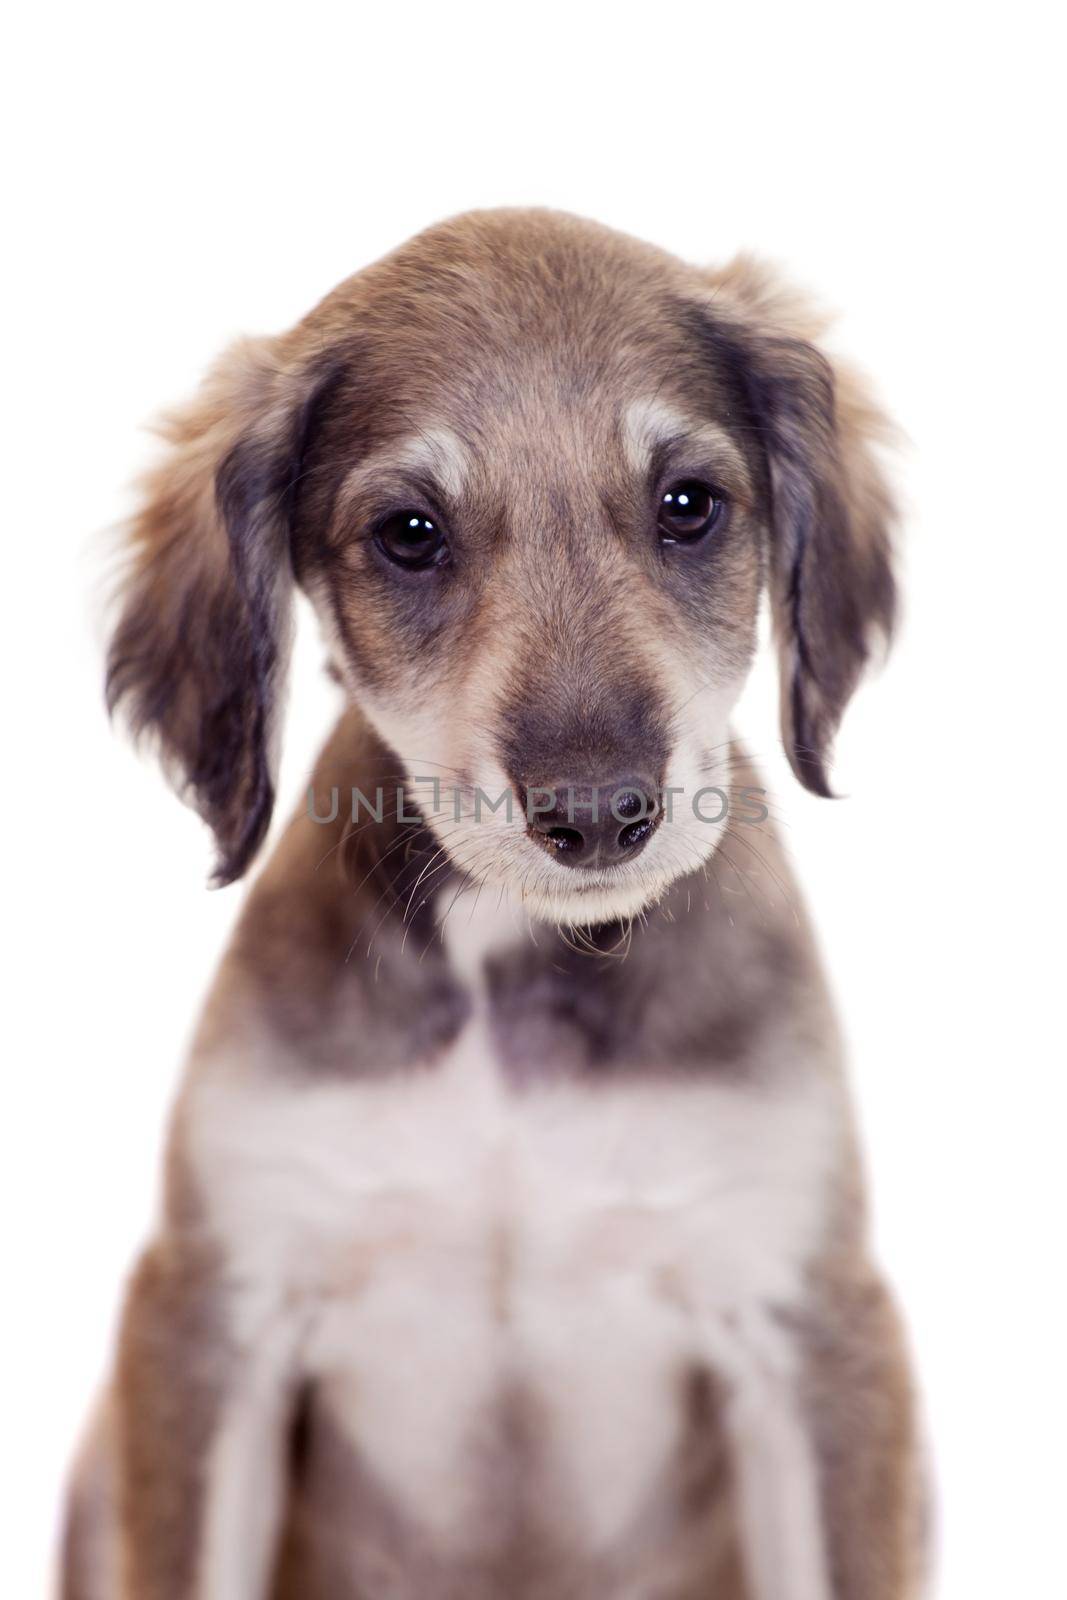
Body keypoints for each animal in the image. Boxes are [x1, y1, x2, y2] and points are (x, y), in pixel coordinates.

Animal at [62, 212, 921, 1600]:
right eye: (410, 532)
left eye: (688, 504)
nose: (598, 814)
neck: (513, 977)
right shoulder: (210, 1313)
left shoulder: (808, 1322)